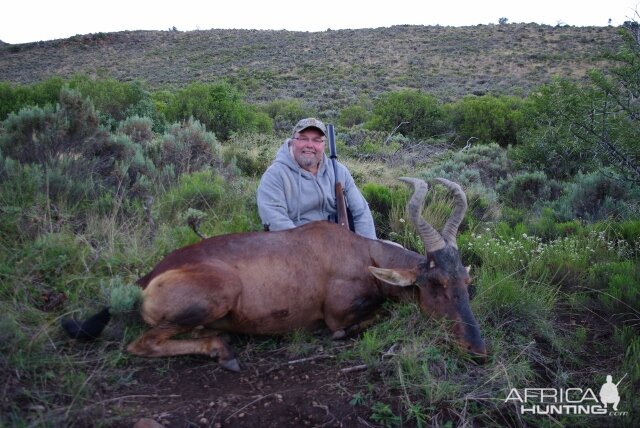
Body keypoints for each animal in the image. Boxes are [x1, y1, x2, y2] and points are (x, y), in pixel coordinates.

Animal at [63, 177, 484, 372]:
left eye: (465, 282)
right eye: (434, 284)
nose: (477, 350)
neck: (357, 252)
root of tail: (146, 278)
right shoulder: (338, 316)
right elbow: (362, 321)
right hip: (218, 293)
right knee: (141, 344)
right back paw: (223, 351)